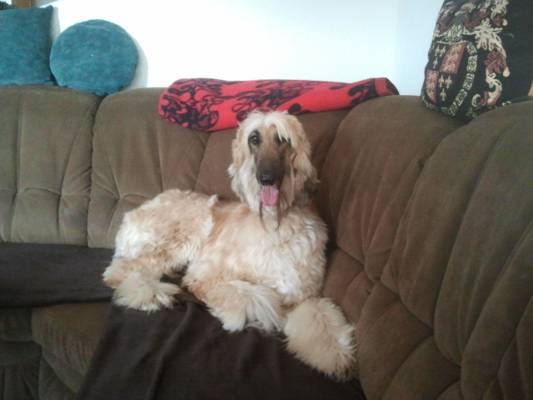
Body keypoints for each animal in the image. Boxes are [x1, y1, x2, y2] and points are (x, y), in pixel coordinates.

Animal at [103, 111, 356, 380]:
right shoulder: (206, 275)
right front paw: (265, 312)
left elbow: (320, 314)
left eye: (282, 139)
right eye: (254, 138)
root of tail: (137, 210)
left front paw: (334, 354)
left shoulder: (303, 293)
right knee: (121, 270)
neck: (274, 222)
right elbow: (255, 298)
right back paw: (149, 294)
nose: (265, 178)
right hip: (183, 233)